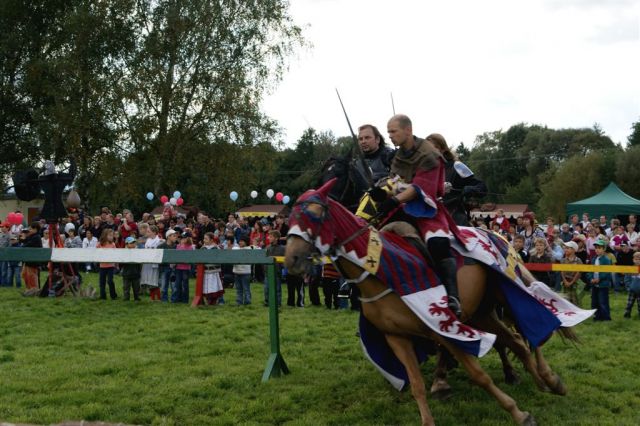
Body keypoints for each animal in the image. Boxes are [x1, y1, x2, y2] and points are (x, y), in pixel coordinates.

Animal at [284, 180, 584, 426]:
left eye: (315, 213)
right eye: (292, 217)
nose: (292, 260)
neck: (382, 272)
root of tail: (497, 237)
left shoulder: (445, 329)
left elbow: (478, 375)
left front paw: (518, 413)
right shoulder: (397, 337)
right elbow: (416, 383)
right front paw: (428, 416)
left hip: (506, 293)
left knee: (532, 327)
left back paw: (549, 379)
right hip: (482, 312)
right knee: (516, 342)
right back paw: (541, 381)